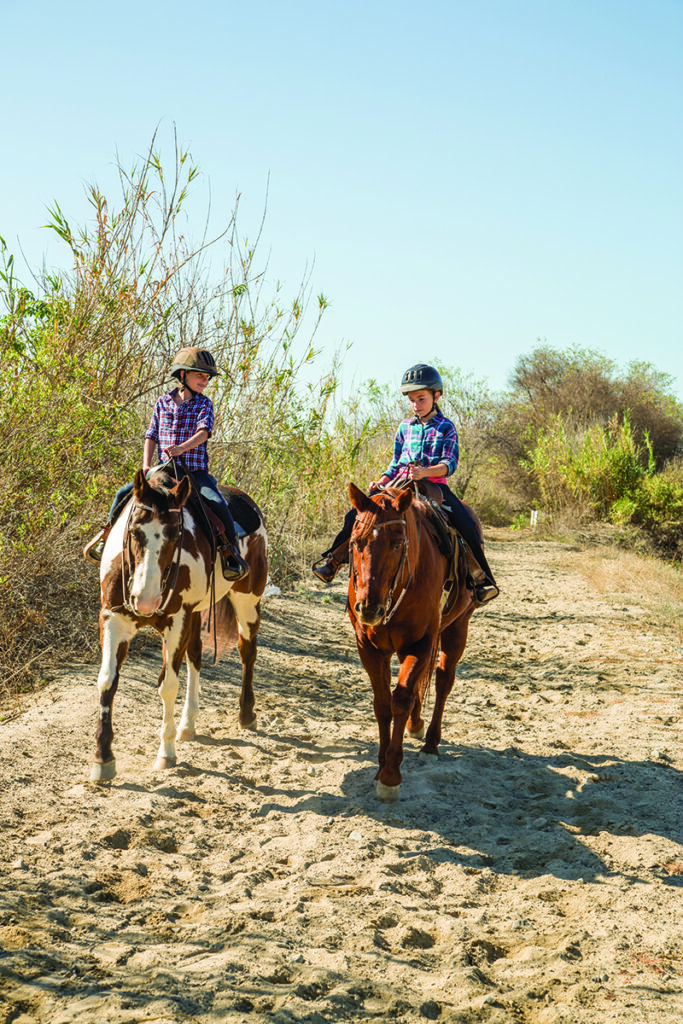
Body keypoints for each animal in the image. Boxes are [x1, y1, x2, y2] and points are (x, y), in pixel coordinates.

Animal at [92, 466, 268, 782]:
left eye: (176, 535)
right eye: (134, 531)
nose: (145, 600)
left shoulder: (177, 621)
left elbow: (168, 685)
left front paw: (166, 752)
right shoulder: (113, 618)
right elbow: (107, 681)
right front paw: (103, 758)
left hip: (247, 600)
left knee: (247, 651)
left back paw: (246, 714)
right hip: (196, 614)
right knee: (195, 656)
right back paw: (188, 725)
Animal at [348, 479, 475, 798]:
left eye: (397, 543)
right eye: (355, 542)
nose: (369, 608)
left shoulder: (420, 643)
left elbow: (401, 700)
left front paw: (391, 775)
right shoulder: (369, 647)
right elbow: (382, 704)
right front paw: (381, 766)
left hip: (458, 626)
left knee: (443, 681)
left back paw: (430, 744)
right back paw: (416, 726)